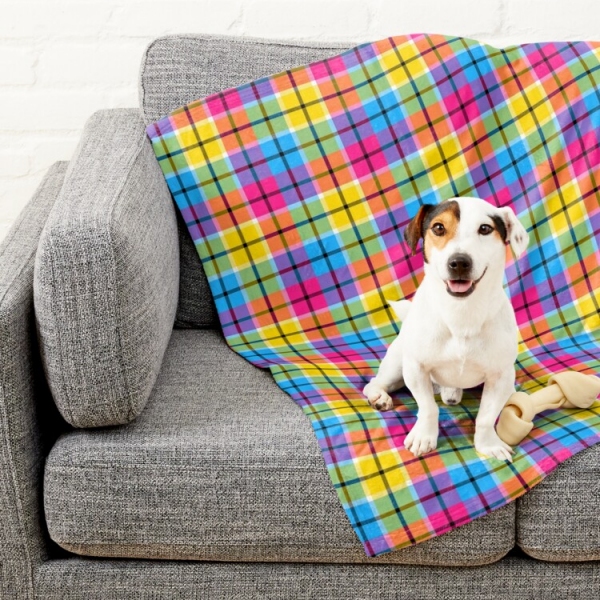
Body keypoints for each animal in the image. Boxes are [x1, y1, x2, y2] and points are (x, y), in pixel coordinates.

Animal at [364, 197, 528, 460]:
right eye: (439, 228)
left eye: (485, 228)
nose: (459, 262)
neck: (461, 314)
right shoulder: (416, 368)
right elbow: (428, 408)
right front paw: (424, 437)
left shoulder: (500, 376)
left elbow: (486, 417)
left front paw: (488, 444)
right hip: (397, 364)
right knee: (374, 382)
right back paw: (379, 396)